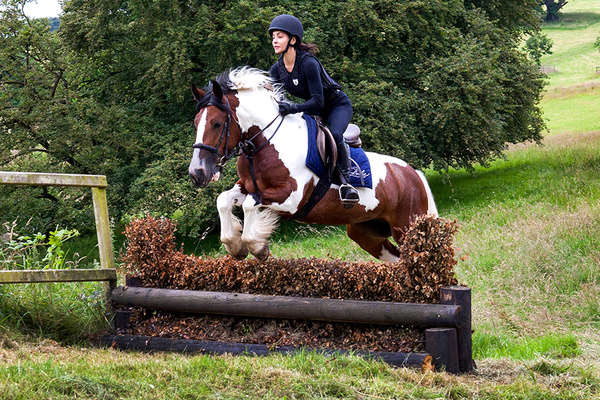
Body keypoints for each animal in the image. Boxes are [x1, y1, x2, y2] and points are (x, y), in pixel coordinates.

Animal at [190, 68, 438, 262]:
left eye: (216, 123)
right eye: (196, 122)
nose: (196, 173)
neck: (267, 142)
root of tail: (412, 173)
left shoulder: (292, 197)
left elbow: (250, 205)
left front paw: (257, 247)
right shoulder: (248, 186)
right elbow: (223, 200)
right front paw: (235, 245)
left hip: (407, 228)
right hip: (365, 231)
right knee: (397, 259)